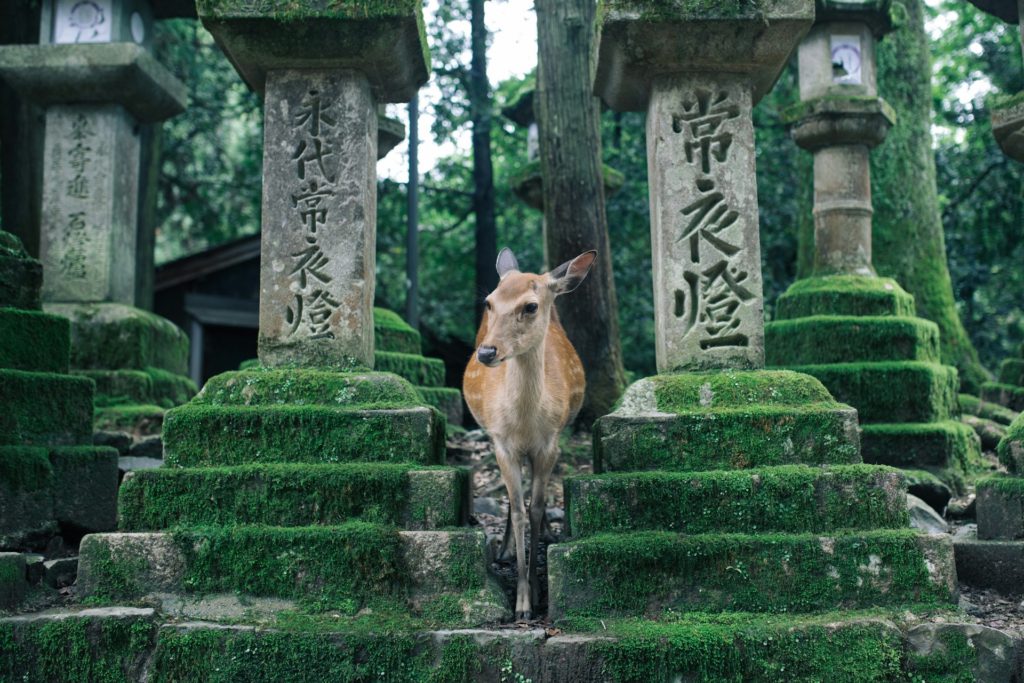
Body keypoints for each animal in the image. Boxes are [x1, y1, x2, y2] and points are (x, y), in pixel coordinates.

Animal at [463, 247, 596, 621]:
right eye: (489, 302)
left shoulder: (549, 443)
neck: (523, 422)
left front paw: (536, 594)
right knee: (512, 500)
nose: (487, 352)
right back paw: (505, 550)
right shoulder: (501, 443)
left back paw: (549, 534)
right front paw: (520, 602)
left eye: (531, 306)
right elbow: (520, 509)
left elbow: (535, 508)